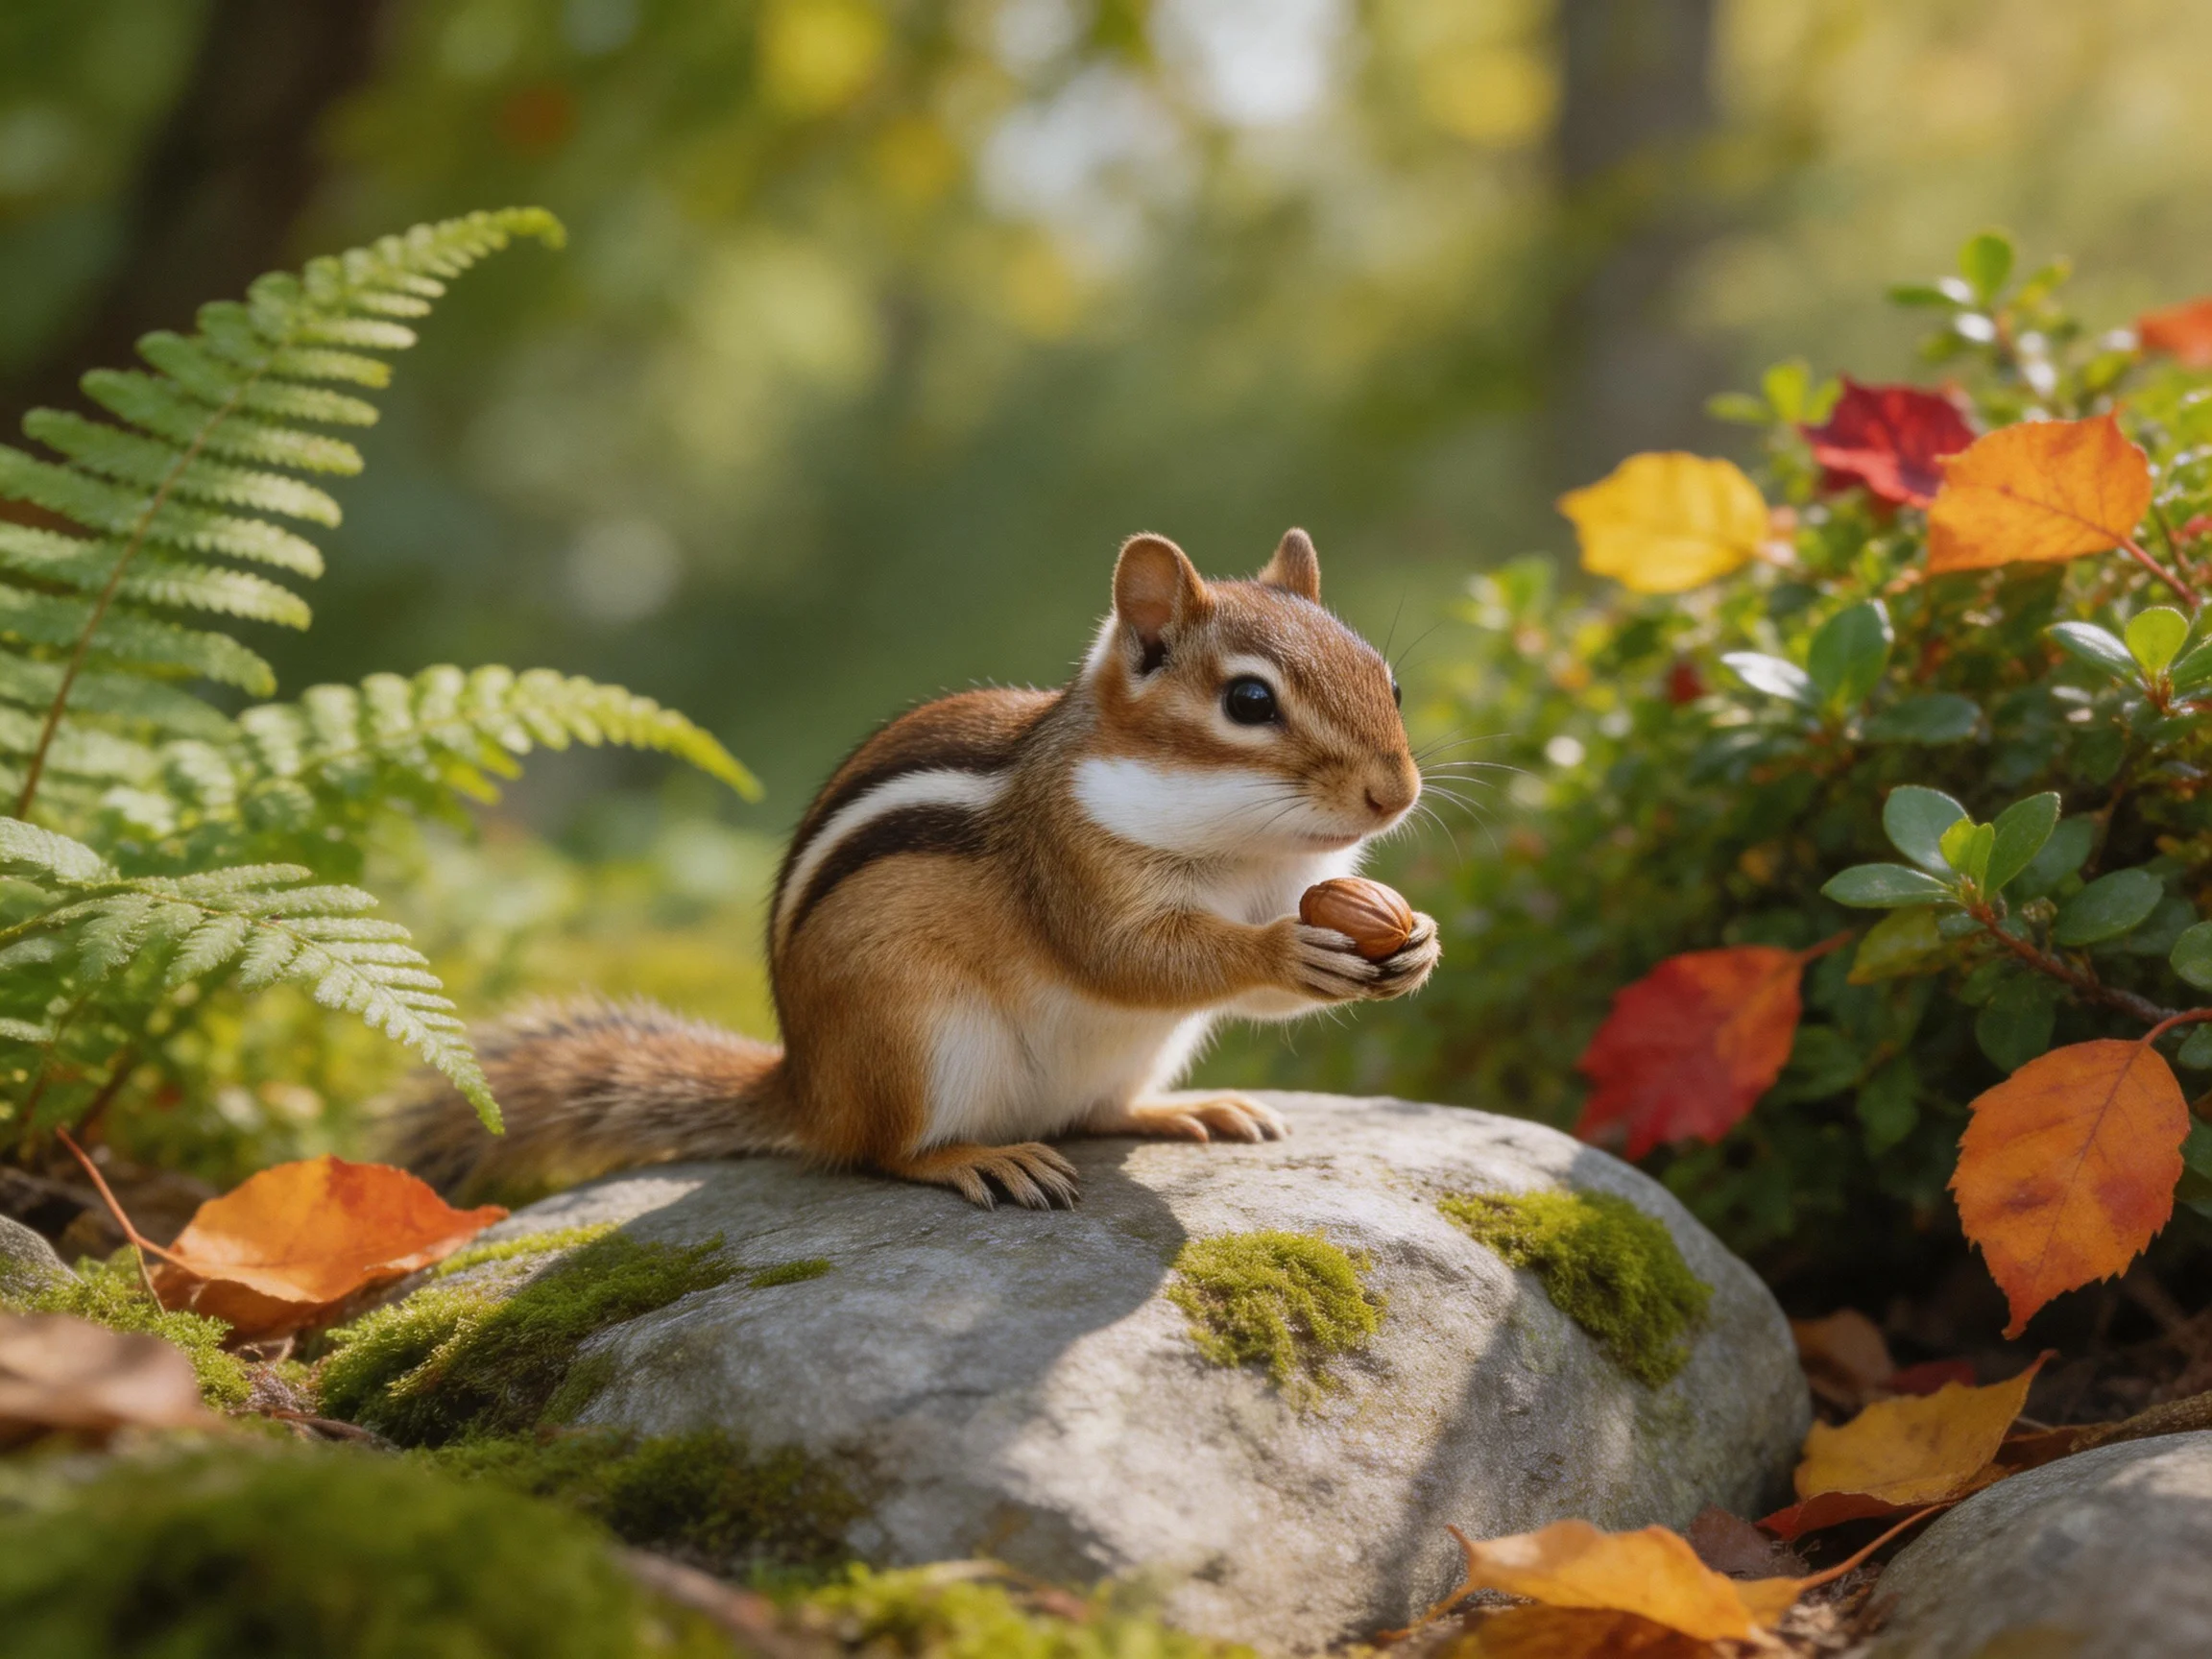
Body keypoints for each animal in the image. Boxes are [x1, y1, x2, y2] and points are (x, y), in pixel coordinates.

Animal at [388, 529, 1440, 1210]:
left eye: (1390, 681)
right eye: (1251, 702)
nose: (1395, 791)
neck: (1248, 848)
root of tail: (804, 1086)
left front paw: (1415, 941)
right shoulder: (1070, 867)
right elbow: (1132, 958)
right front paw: (1284, 952)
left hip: (1131, 1054)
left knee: (1099, 1113)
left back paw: (1187, 1109)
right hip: (914, 1034)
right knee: (876, 1152)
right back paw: (975, 1161)